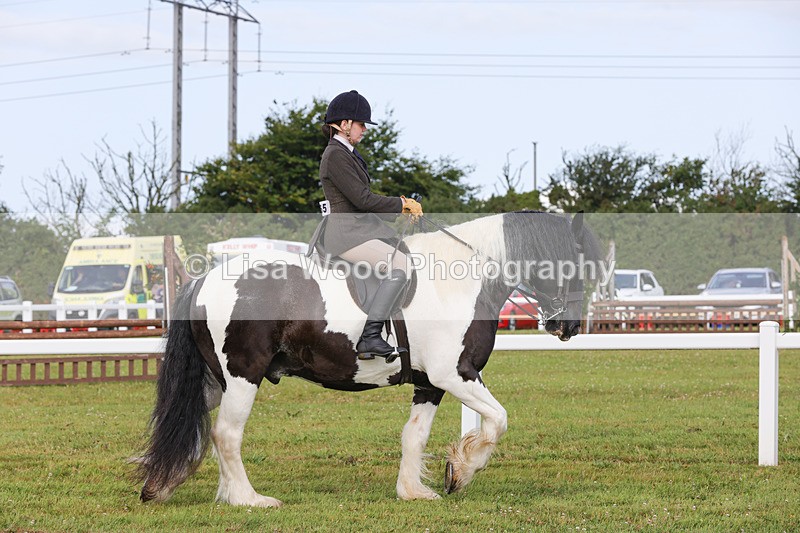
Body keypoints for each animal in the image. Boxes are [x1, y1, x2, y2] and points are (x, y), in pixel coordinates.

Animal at [137, 211, 600, 507]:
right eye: (574, 263)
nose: (569, 327)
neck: (463, 278)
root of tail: (202, 279)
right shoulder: (456, 375)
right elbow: (498, 420)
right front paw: (462, 470)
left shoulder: (430, 383)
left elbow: (414, 436)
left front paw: (416, 491)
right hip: (242, 376)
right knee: (226, 435)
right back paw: (248, 499)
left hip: (215, 380)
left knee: (195, 426)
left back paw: (170, 487)